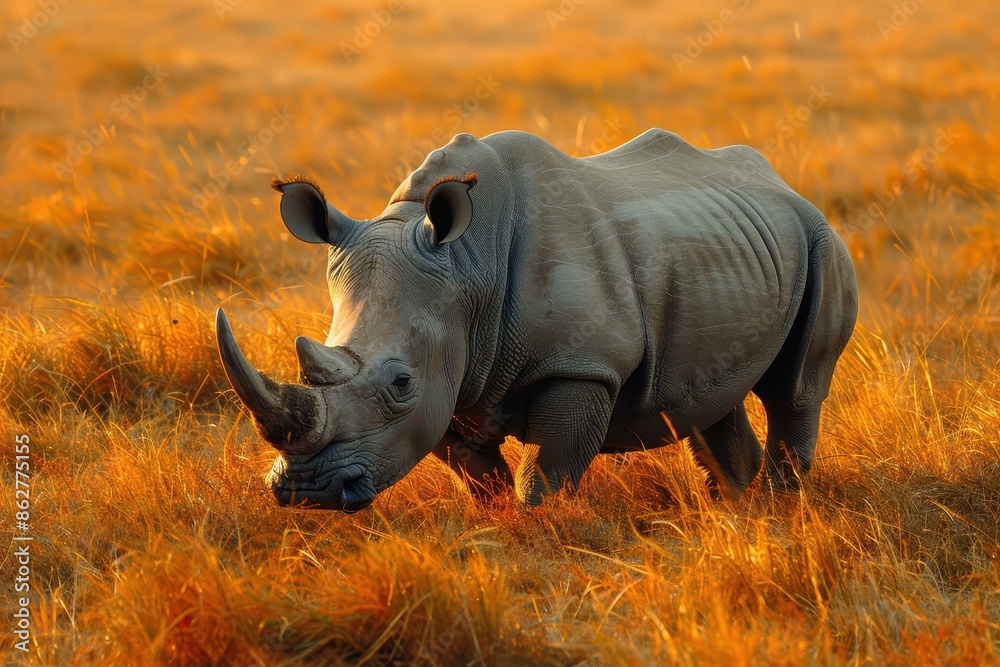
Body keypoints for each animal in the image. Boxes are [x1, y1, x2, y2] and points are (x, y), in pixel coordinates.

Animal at [215, 129, 858, 511]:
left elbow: (546, 474)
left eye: (400, 383)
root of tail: (779, 181)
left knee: (796, 389)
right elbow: (476, 471)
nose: (306, 491)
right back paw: (733, 508)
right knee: (710, 400)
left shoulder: (582, 363)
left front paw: (534, 528)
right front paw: (493, 522)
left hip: (821, 237)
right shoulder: (455, 371)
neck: (468, 267)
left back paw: (782, 508)